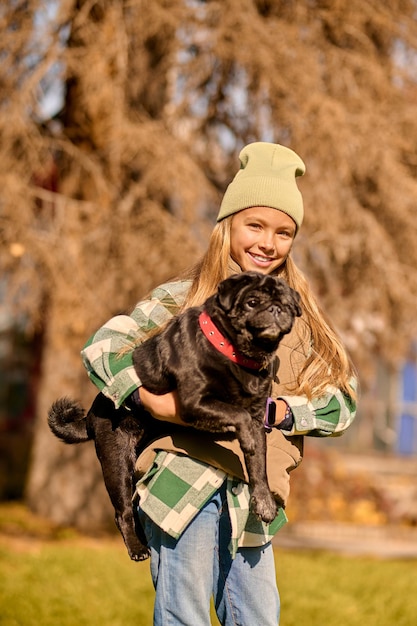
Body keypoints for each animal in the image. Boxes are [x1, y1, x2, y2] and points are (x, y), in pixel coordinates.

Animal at [48, 272, 300, 560]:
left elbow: (258, 465)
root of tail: (90, 415)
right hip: (116, 461)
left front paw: (265, 502)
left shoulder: (259, 418)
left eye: (287, 304)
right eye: (252, 302)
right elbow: (238, 415)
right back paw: (137, 548)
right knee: (122, 511)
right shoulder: (196, 402)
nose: (276, 309)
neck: (235, 354)